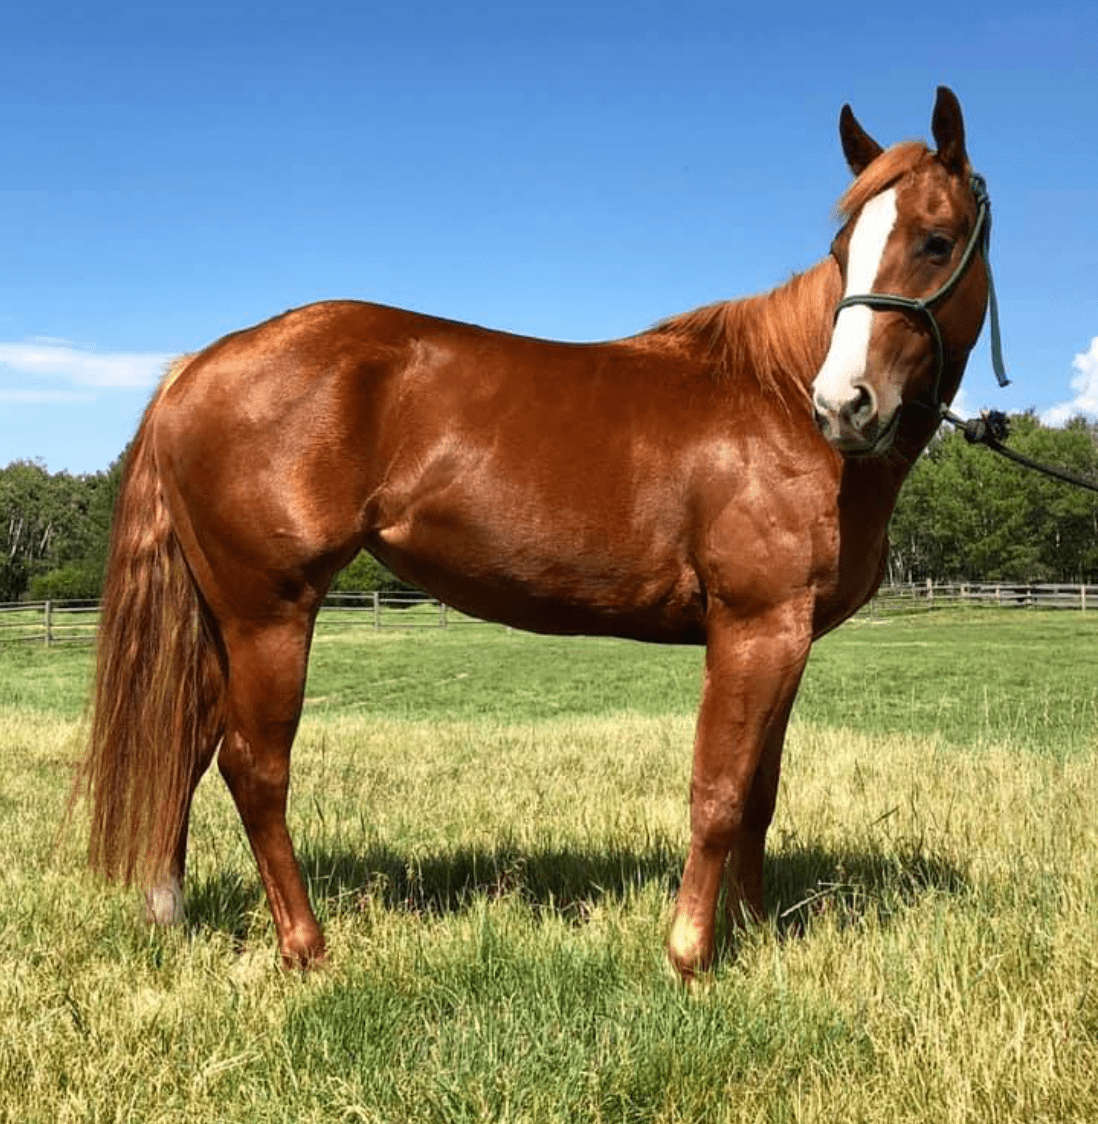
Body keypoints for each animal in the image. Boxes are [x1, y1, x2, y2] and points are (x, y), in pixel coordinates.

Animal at [78, 86, 994, 978]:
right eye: (844, 248)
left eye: (936, 241)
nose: (844, 405)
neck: (773, 401)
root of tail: (194, 366)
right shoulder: (753, 626)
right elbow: (719, 792)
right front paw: (689, 956)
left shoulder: (785, 635)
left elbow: (759, 796)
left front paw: (754, 932)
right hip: (270, 613)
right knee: (253, 766)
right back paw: (307, 948)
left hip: (222, 618)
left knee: (187, 746)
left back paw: (171, 913)